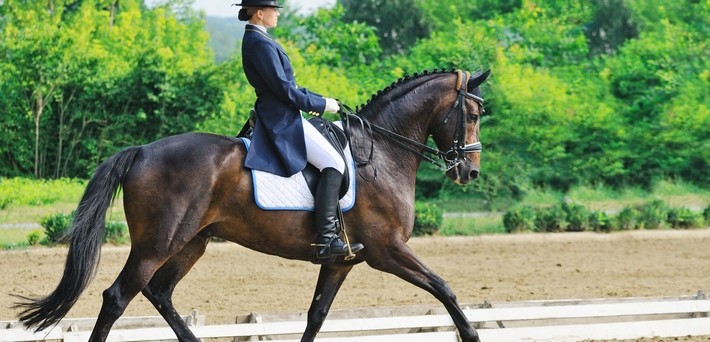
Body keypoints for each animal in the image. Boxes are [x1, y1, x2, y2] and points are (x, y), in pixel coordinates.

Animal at [16, 68, 492, 340]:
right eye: (471, 115)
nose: (468, 172)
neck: (382, 153)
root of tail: (143, 151)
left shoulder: (343, 260)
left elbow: (316, 315)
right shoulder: (386, 250)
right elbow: (445, 288)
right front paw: (471, 335)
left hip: (192, 242)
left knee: (159, 292)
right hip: (157, 243)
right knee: (118, 296)